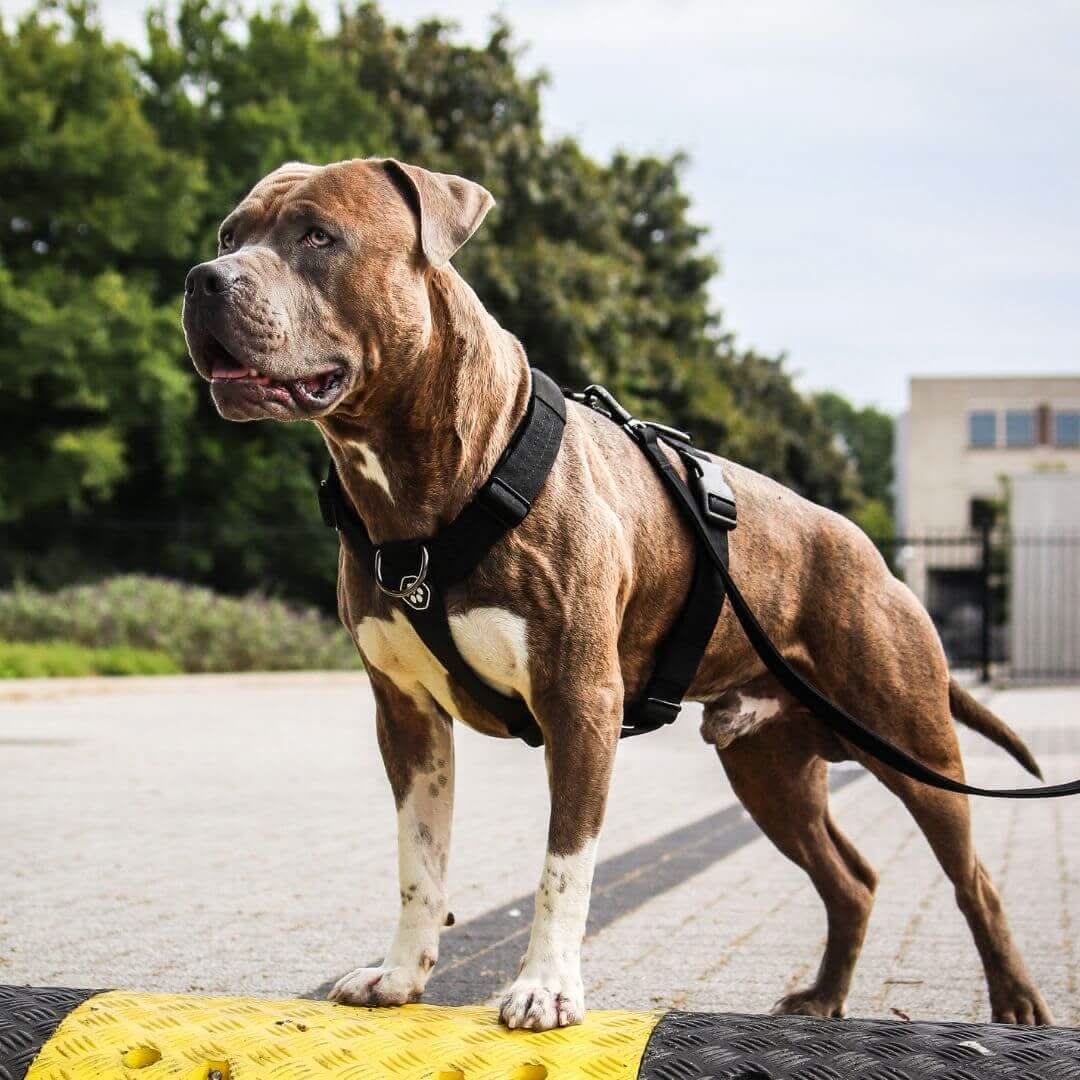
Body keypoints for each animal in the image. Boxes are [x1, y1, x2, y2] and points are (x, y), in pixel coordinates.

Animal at [181, 157, 1049, 1028]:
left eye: (318, 236)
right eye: (229, 234)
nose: (201, 279)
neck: (418, 486)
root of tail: (871, 553)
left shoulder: (580, 699)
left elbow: (564, 866)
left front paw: (545, 987)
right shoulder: (406, 714)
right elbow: (419, 861)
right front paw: (399, 976)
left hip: (912, 743)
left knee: (975, 881)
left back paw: (1015, 1004)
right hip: (770, 771)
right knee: (853, 880)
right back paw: (824, 997)